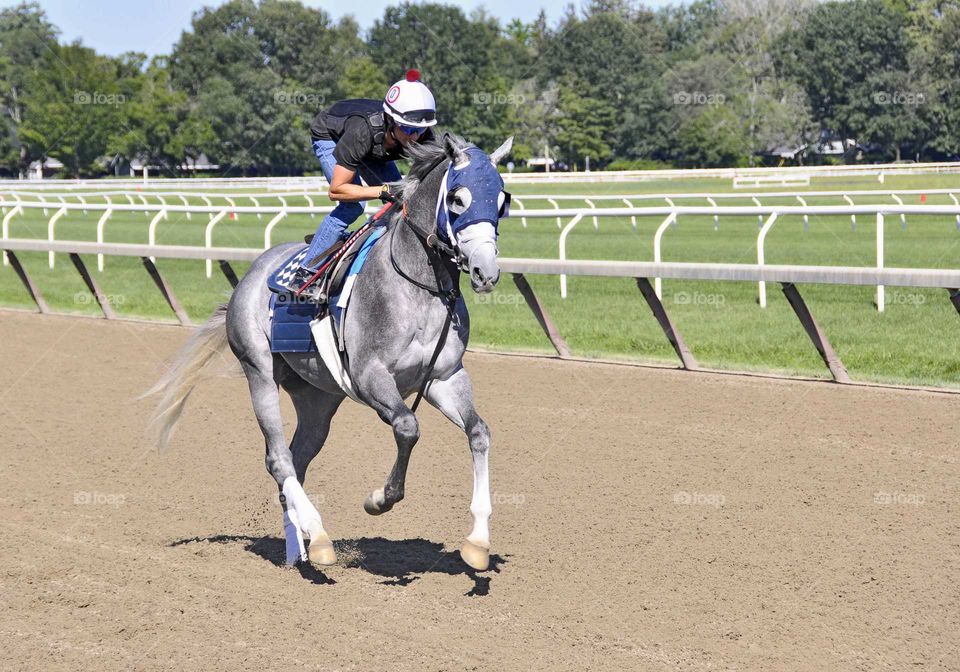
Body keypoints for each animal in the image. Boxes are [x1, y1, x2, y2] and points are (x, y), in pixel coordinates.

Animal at [145, 135, 512, 572]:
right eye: (457, 199)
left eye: (502, 200)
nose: (485, 272)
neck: (418, 286)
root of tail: (251, 273)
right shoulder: (371, 375)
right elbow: (408, 427)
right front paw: (379, 499)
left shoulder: (443, 377)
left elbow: (479, 432)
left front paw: (478, 542)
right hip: (258, 370)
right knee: (278, 458)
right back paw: (318, 539)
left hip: (317, 397)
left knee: (297, 461)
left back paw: (298, 547)